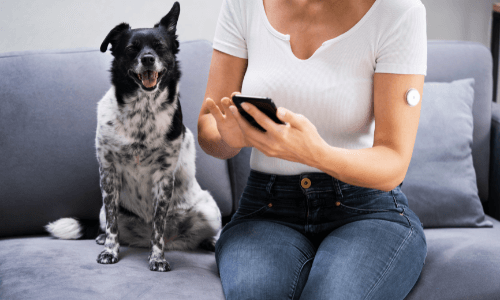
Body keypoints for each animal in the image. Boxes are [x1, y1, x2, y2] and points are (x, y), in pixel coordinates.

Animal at [44, 1, 221, 272]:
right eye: (131, 48)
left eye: (160, 46)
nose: (148, 59)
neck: (142, 112)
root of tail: (175, 241)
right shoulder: (108, 173)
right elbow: (113, 224)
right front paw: (110, 251)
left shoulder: (164, 178)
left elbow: (158, 226)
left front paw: (157, 258)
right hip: (103, 210)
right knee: (111, 225)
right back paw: (101, 238)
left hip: (209, 210)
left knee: (201, 233)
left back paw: (211, 241)